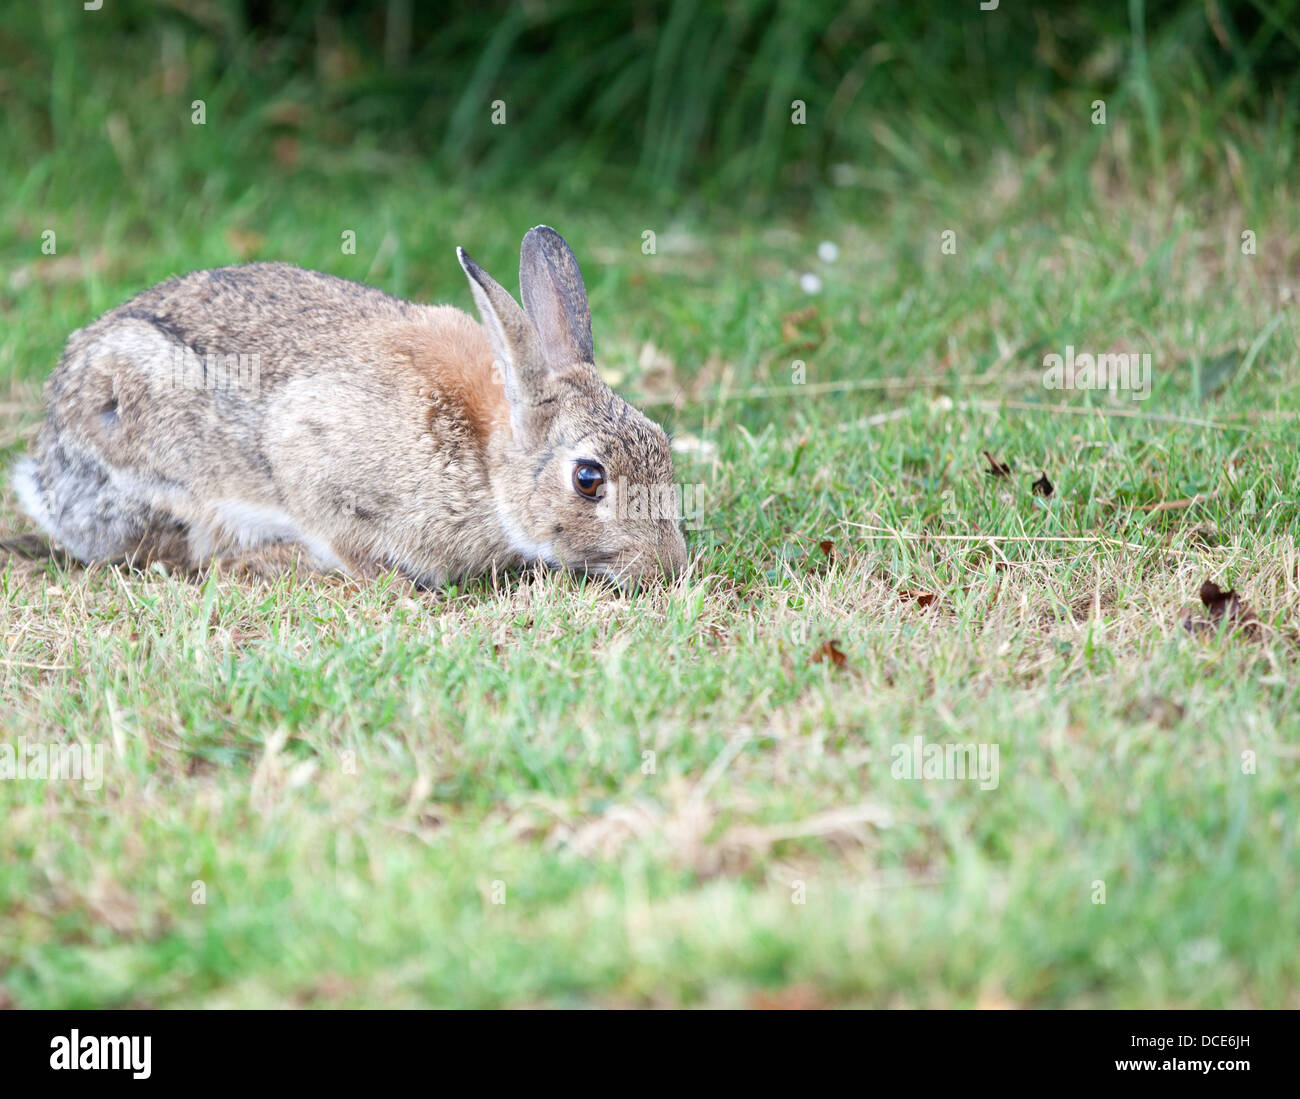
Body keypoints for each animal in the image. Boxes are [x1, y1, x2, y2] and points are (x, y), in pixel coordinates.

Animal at [12, 222, 691, 587]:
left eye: (664, 446)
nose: (667, 566)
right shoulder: (309, 454)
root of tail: (49, 466)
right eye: (588, 479)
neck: (486, 459)